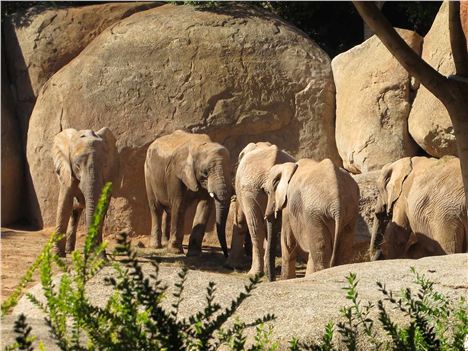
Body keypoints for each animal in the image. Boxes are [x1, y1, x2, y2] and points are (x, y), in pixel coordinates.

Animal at [51, 128, 118, 258]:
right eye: (77, 166)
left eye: (105, 165)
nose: (103, 258)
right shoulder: (66, 172)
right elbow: (65, 204)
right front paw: (57, 255)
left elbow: (102, 207)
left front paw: (99, 254)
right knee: (74, 211)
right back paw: (69, 251)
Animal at [226, 142, 294, 276]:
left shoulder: (243, 191)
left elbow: (240, 219)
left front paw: (231, 265)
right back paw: (266, 271)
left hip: (250, 190)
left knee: (255, 226)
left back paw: (254, 273)